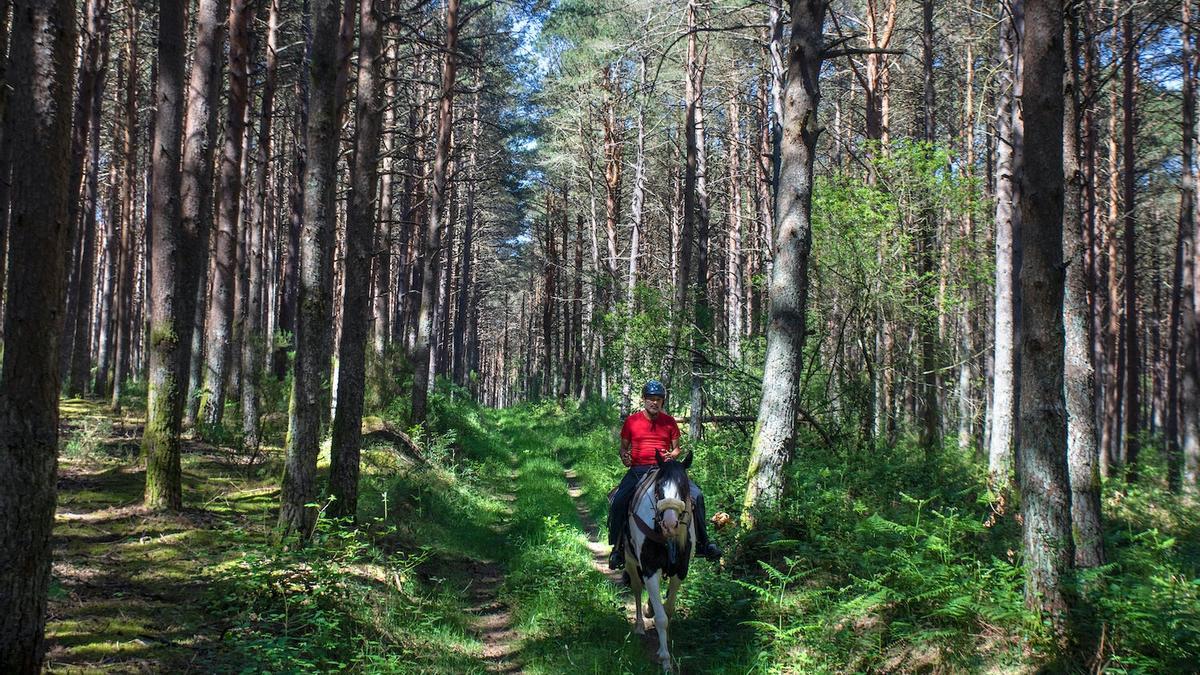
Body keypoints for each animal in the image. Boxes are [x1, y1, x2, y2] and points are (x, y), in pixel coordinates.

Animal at [619, 449, 696, 667]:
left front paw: (666, 644)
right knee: (637, 589)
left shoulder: (680, 570)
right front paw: (665, 659)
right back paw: (639, 625)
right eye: (660, 486)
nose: (670, 523)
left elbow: (668, 609)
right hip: (630, 562)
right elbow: (661, 618)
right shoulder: (650, 569)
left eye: (684, 486)